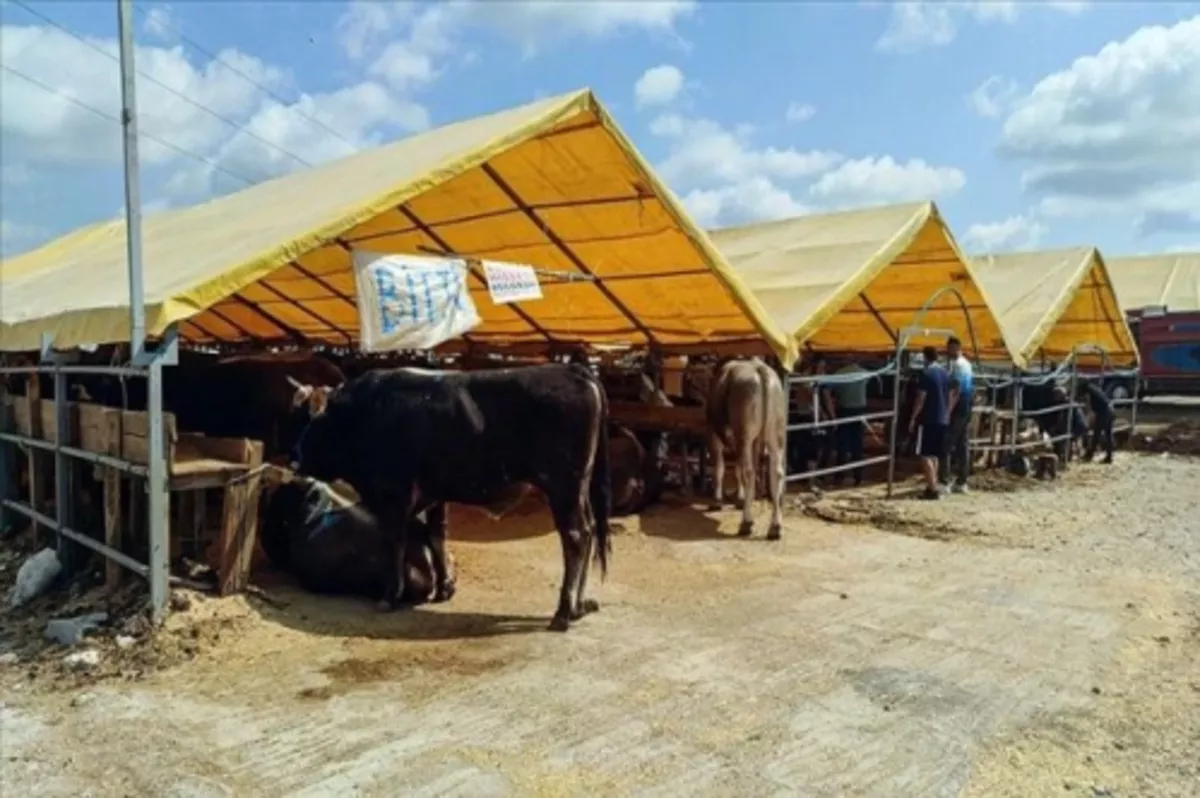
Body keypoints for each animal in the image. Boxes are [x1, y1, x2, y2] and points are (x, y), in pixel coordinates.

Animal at [286, 364, 614, 633]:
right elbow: (437, 537)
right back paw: (578, 607)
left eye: (310, 422)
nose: (293, 460)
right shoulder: (434, 495)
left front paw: (390, 596)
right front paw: (444, 588)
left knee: (575, 538)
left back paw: (563, 612)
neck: (364, 413)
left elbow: (396, 543)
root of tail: (573, 371)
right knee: (588, 534)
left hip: (563, 487)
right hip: (579, 490)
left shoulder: (394, 494)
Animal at [700, 355, 787, 537]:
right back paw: (775, 527)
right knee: (776, 473)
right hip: (776, 435)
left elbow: (720, 468)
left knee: (749, 471)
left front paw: (717, 501)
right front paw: (739, 498)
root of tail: (761, 369)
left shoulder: (713, 432)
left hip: (744, 435)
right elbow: (737, 468)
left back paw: (746, 522)